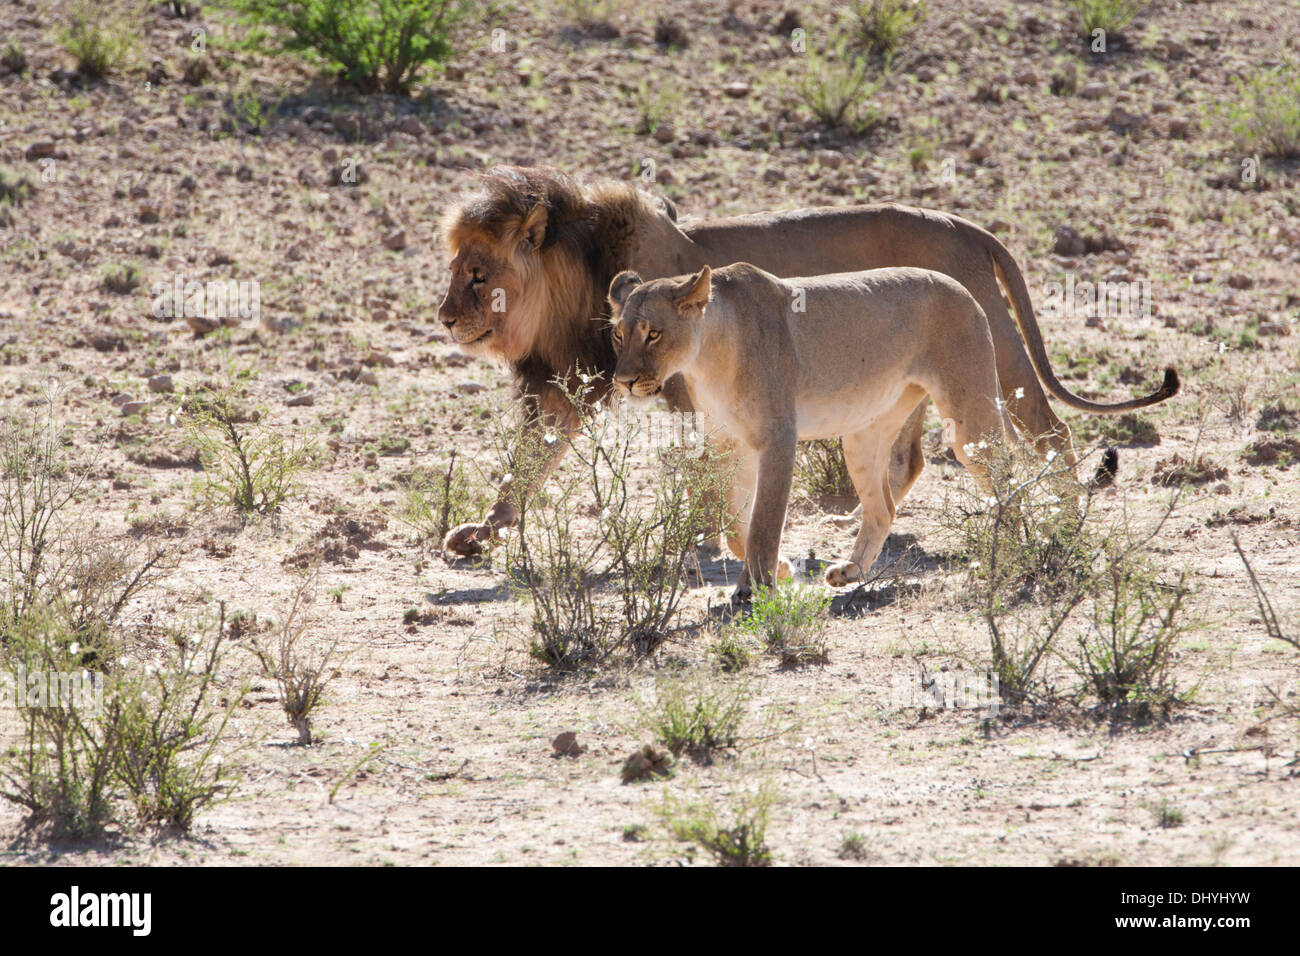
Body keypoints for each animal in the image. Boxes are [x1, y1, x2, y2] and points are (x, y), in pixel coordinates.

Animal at [436, 167, 1180, 556]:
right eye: (455, 269)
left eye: (477, 274)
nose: (443, 317)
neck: (579, 278)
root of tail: (965, 225)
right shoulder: (570, 385)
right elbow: (526, 466)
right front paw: (483, 530)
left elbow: (708, 477)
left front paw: (708, 537)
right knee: (908, 457)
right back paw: (868, 526)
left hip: (995, 356)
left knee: (1053, 433)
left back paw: (1063, 519)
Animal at [608, 265, 1013, 600]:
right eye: (619, 335)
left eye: (654, 334)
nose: (623, 382)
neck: (705, 359)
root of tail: (960, 286)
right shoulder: (730, 446)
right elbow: (737, 524)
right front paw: (781, 568)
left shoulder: (778, 439)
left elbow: (764, 523)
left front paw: (752, 590)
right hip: (863, 435)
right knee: (883, 508)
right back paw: (849, 572)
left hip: (969, 423)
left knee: (1007, 476)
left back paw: (1012, 547)